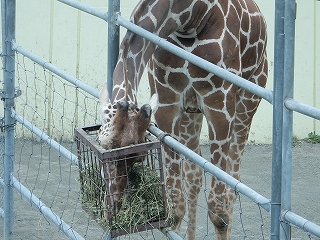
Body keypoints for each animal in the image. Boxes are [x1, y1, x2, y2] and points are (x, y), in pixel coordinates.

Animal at [99, 0, 268, 238]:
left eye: (138, 157)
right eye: (103, 146)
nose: (111, 208)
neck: (189, 17)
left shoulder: (220, 104)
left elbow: (219, 212)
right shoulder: (167, 102)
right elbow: (175, 206)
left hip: (250, 99)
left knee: (231, 187)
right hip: (191, 113)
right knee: (194, 176)